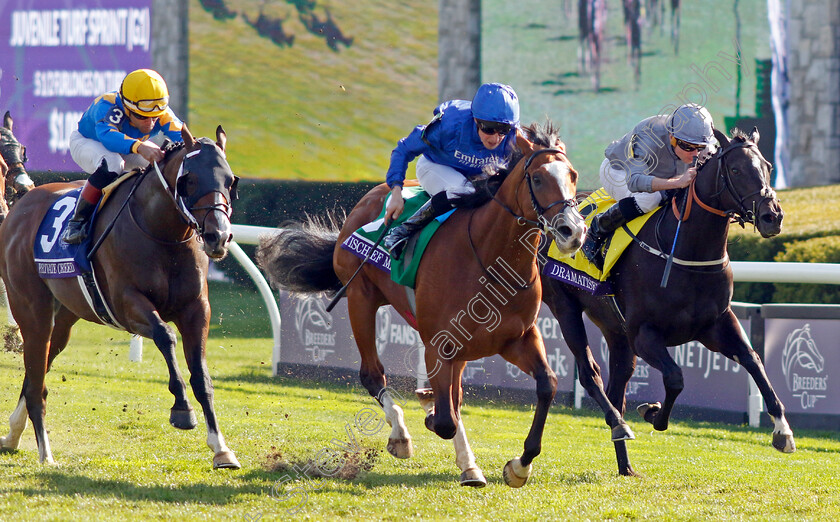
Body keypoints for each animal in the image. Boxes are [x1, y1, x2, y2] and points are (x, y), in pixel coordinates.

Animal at [0, 125, 240, 468]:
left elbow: (201, 375)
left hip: (66, 317)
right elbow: (165, 336)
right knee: (36, 378)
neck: (163, 233)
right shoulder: (126, 304)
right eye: (190, 179)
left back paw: (13, 434)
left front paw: (221, 448)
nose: (218, 236)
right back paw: (46, 453)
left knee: (38, 370)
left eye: (230, 181)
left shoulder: (197, 310)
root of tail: (20, 207)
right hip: (32, 309)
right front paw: (181, 409)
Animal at [260, 121, 588, 484]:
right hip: (361, 299)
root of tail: (367, 200)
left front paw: (519, 465)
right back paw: (401, 435)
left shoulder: (517, 338)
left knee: (455, 395)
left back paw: (467, 463)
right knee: (373, 376)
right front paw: (429, 412)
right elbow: (445, 420)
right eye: (538, 178)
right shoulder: (439, 344)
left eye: (572, 175)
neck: (491, 257)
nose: (573, 231)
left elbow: (546, 385)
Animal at [540, 127, 796, 476]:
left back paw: (625, 462)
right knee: (590, 374)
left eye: (768, 167)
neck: (690, 253)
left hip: (615, 331)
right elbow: (675, 378)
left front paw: (783, 431)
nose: (772, 217)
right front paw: (652, 412)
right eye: (735, 170)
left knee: (616, 389)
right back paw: (620, 427)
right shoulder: (644, 334)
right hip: (565, 307)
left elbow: (754, 361)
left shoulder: (717, 325)